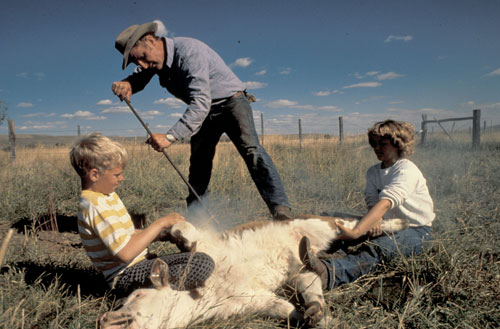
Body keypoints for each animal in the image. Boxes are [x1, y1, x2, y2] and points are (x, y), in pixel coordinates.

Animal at [98, 215, 406, 328]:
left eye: (137, 295)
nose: (104, 319)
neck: (209, 290)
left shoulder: (204, 244)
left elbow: (183, 230)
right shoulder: (249, 301)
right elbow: (282, 307)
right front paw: (308, 318)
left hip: (322, 224)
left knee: (352, 226)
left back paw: (395, 224)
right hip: (302, 265)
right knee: (312, 280)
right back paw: (316, 311)